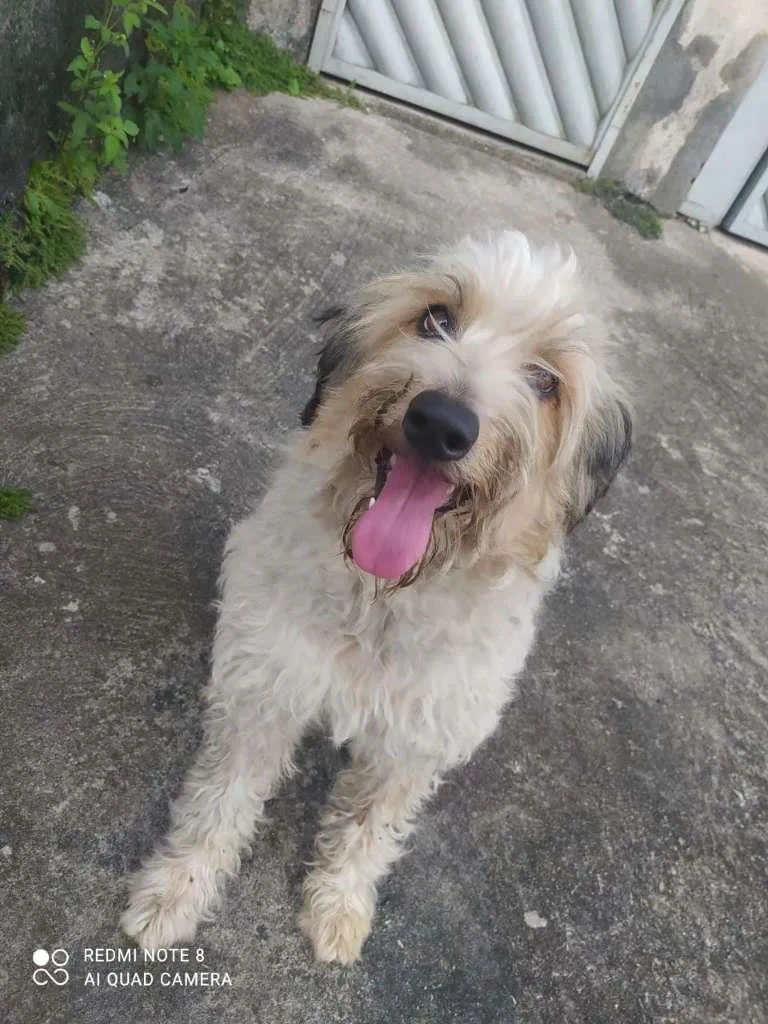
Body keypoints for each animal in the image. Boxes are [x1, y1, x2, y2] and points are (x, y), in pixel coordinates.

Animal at [120, 231, 631, 963]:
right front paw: (174, 892)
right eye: (436, 318)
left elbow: (369, 826)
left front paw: (337, 906)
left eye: (545, 381)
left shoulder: (417, 742)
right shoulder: (266, 690)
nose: (441, 423)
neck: (382, 600)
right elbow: (220, 799)